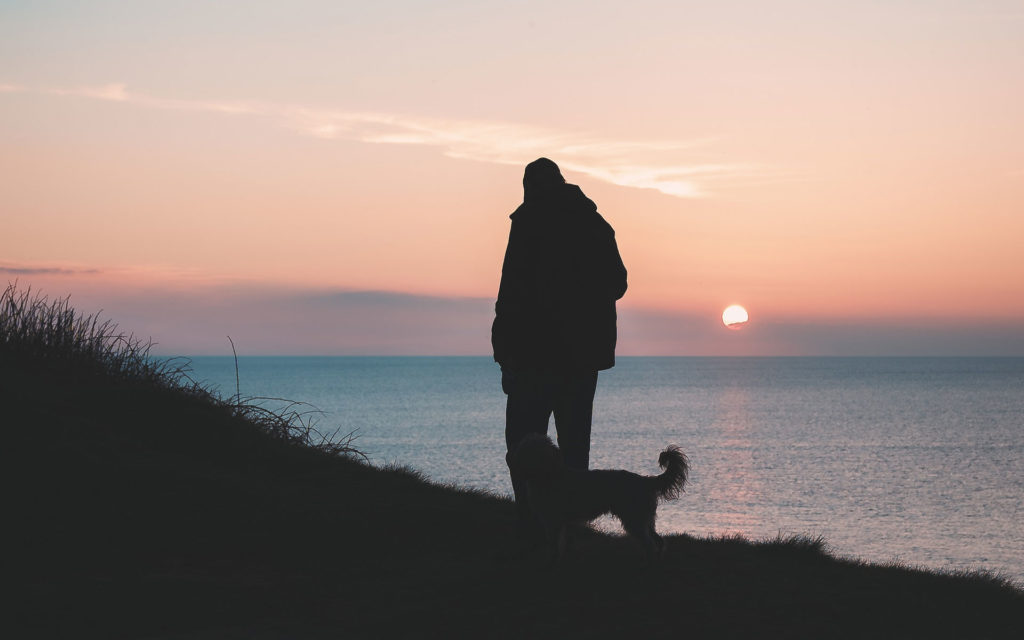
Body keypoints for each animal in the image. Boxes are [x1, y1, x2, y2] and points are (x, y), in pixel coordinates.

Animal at [509, 434, 688, 565]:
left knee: (650, 544)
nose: (514, 461)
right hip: (645, 519)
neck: (549, 474)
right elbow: (560, 543)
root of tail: (645, 480)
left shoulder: (553, 521)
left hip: (634, 520)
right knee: (658, 541)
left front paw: (552, 561)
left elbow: (554, 544)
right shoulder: (559, 522)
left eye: (530, 450)